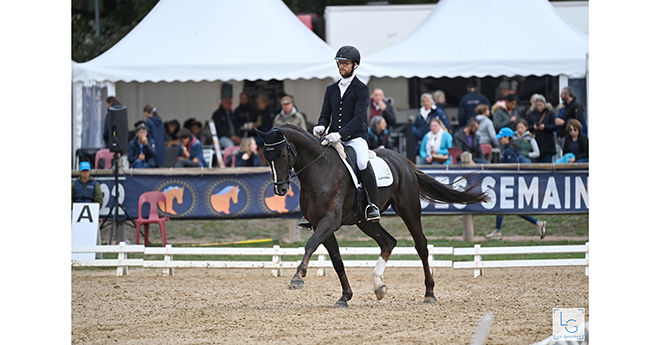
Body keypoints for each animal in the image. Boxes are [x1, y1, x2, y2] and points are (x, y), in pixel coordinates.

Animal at [255, 123, 488, 306]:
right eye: (267, 157)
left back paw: (429, 293)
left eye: (282, 154)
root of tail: (404, 161)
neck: (319, 170)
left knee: (421, 245)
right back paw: (378, 286)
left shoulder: (330, 221)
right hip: (365, 221)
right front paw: (345, 297)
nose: (280, 190)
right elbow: (336, 260)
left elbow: (310, 245)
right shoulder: (321, 224)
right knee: (388, 242)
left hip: (408, 208)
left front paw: (297, 277)